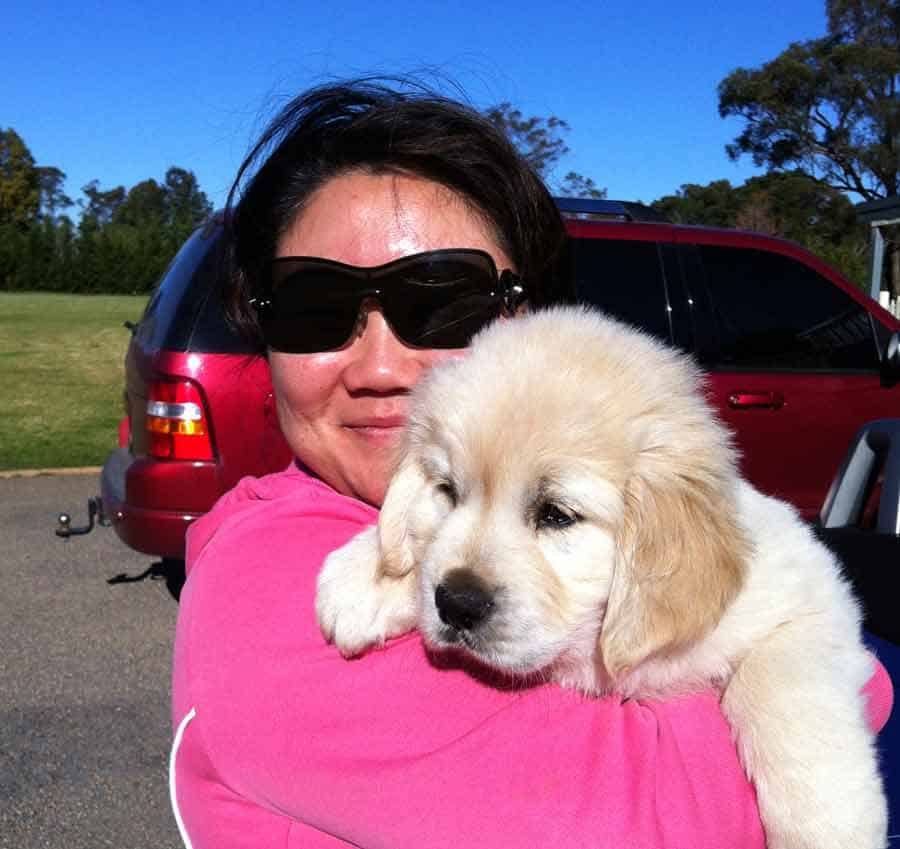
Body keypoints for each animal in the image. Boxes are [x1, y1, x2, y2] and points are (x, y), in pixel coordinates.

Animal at [314, 304, 884, 848]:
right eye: (447, 491)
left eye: (556, 514)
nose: (457, 603)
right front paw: (369, 574)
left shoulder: (813, 600)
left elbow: (784, 691)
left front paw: (830, 827)